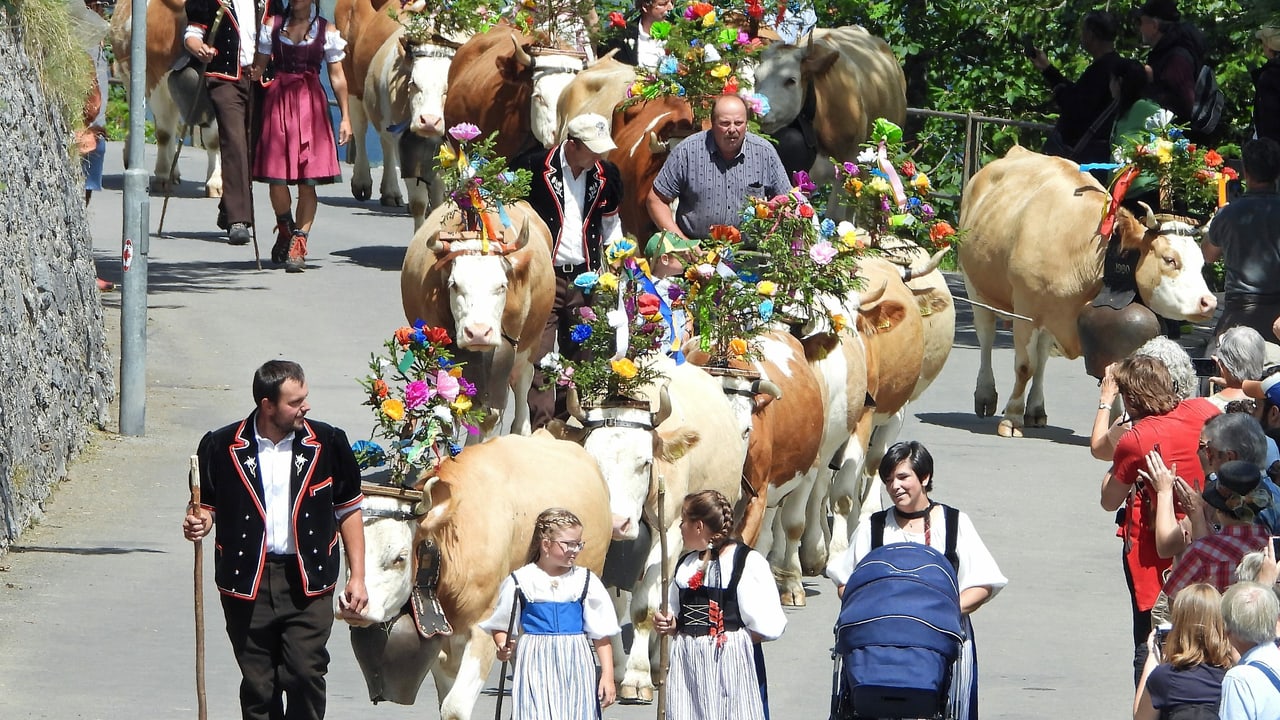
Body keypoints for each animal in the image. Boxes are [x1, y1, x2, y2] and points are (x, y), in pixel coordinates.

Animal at [343, 427, 611, 712]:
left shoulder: (486, 623)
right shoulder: (443, 641)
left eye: (399, 558)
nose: (351, 605)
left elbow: (455, 706)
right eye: (348, 551)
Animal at [401, 202, 552, 438]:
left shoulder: (504, 353)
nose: (479, 333)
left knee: (520, 396)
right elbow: (448, 415)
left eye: (502, 285)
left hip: (528, 348)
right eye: (454, 284)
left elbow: (489, 416)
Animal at [962, 146, 1218, 435]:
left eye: (1201, 263)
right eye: (1170, 259)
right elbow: (1024, 366)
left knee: (1042, 357)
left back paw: (1036, 409)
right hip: (976, 288)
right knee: (986, 338)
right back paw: (985, 396)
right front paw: (1012, 418)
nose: (1209, 302)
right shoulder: (1026, 310)